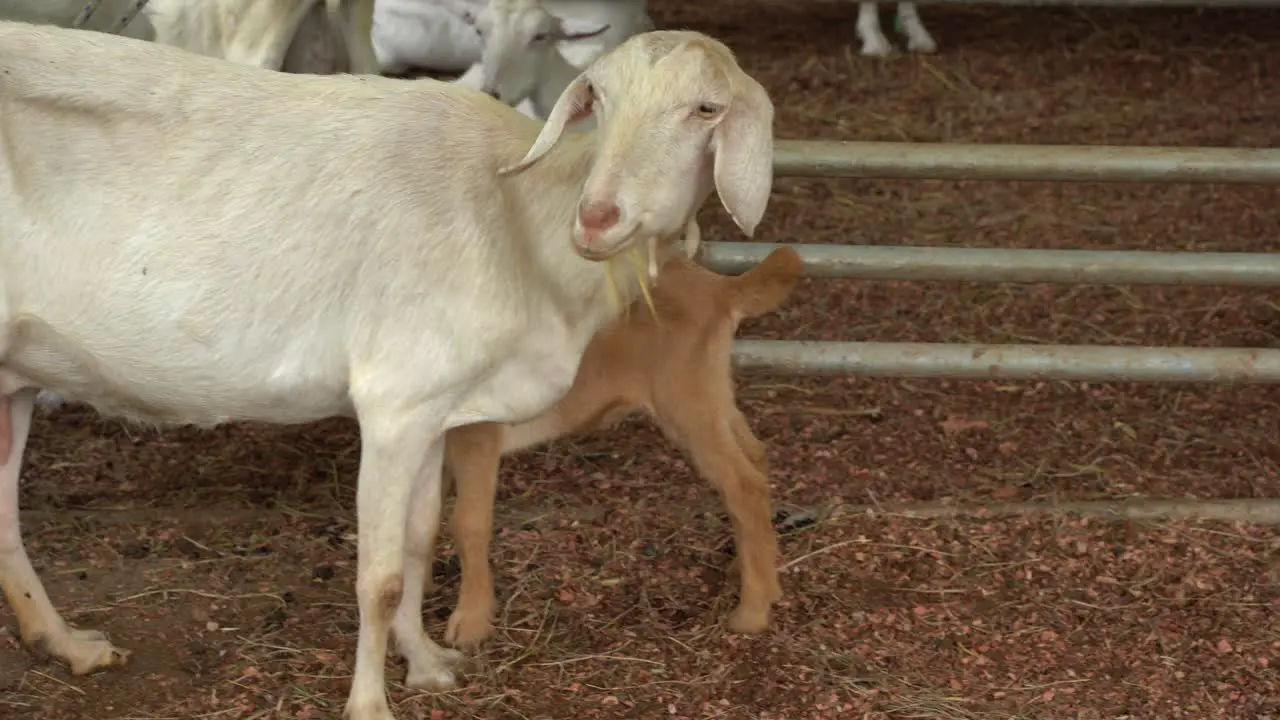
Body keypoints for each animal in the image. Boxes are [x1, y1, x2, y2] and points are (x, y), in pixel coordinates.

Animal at [0, 19, 768, 712]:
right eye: (598, 98)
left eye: (705, 108)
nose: (598, 216)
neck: (514, 216)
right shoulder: (396, 402)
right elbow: (381, 576)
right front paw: (369, 703)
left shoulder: (438, 409)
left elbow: (420, 542)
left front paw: (426, 663)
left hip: (12, 377)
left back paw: (66, 644)